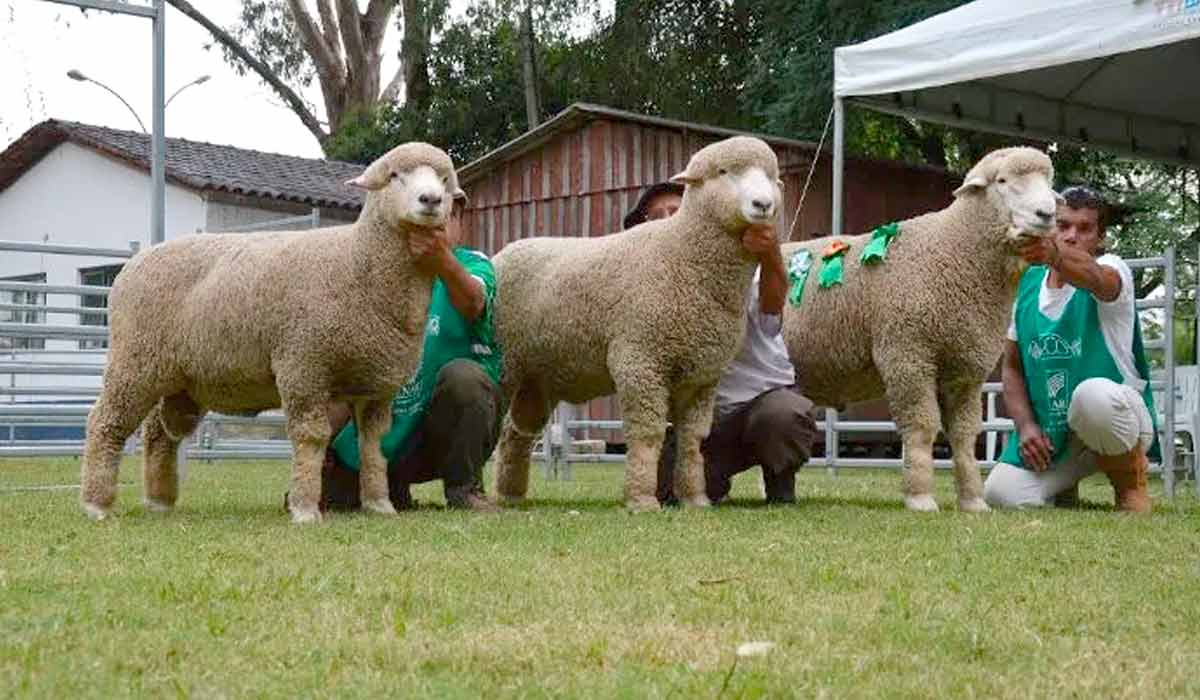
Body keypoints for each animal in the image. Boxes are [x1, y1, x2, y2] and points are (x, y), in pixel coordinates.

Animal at [78, 142, 463, 523]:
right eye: (395, 175)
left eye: (444, 180)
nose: (431, 199)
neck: (357, 261)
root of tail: (132, 264)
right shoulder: (303, 364)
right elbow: (311, 436)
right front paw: (305, 509)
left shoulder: (375, 386)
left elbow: (372, 445)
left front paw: (379, 504)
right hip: (134, 362)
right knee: (106, 422)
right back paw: (96, 504)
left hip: (178, 380)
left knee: (160, 434)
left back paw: (159, 500)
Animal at [489, 135, 787, 509]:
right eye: (723, 172)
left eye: (770, 175)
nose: (763, 204)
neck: (683, 255)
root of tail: (502, 253)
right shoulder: (640, 359)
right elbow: (647, 433)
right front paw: (642, 499)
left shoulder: (702, 377)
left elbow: (693, 440)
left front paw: (695, 498)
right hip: (504, 362)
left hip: (537, 379)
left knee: (516, 432)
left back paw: (509, 494)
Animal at [782, 145, 1056, 511]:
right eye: (1002, 181)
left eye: (1048, 181)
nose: (1047, 214)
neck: (955, 250)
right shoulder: (907, 355)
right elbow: (923, 427)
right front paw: (920, 497)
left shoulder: (966, 369)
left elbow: (965, 435)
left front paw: (973, 501)